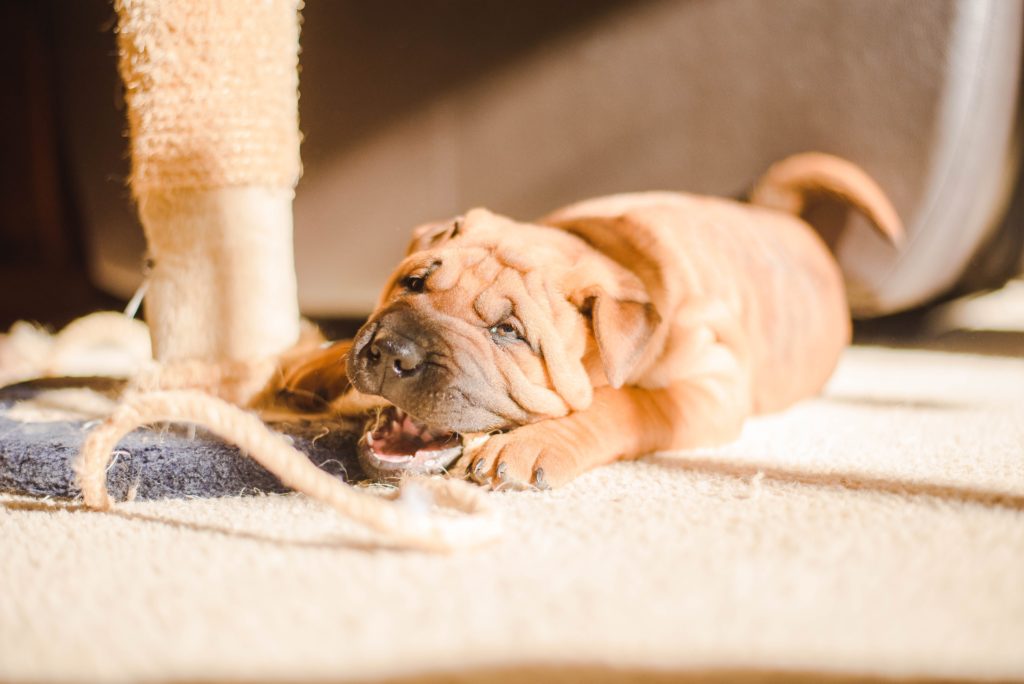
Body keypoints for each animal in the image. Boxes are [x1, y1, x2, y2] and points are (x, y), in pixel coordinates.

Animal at [276, 152, 901, 489]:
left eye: (507, 332)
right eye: (413, 284)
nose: (392, 352)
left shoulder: (712, 385)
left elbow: (626, 403)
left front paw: (526, 448)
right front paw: (311, 364)